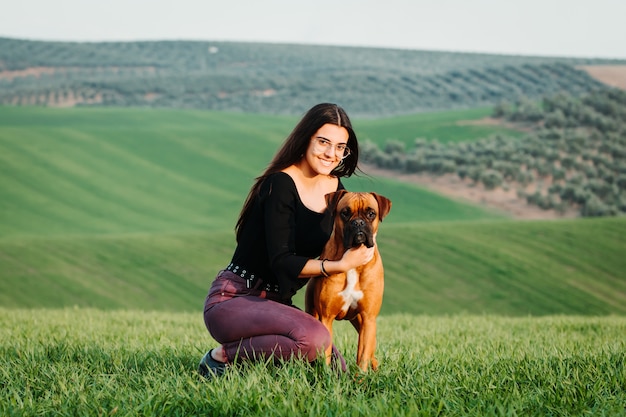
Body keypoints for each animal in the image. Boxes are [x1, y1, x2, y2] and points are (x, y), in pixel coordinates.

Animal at [304, 189, 390, 370]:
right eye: (345, 213)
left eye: (371, 213)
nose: (358, 223)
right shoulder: (326, 317)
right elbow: (326, 353)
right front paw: (325, 374)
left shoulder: (368, 318)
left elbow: (363, 356)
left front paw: (361, 377)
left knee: (371, 351)